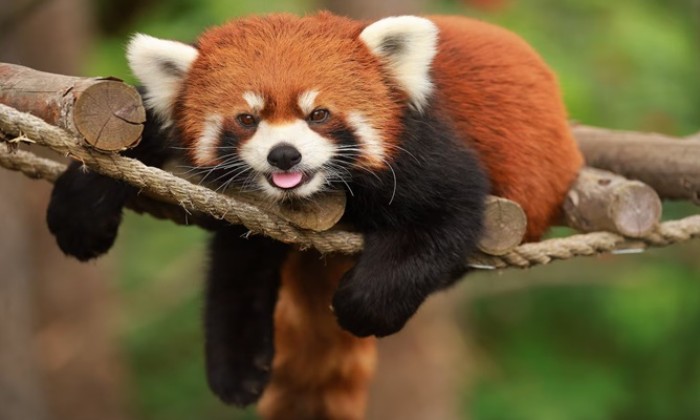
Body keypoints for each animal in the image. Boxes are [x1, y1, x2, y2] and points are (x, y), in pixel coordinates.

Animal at [47, 12, 583, 419]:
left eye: (319, 114)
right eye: (247, 119)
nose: (284, 155)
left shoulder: (426, 153)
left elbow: (446, 219)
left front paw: (359, 306)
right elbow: (133, 129)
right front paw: (80, 211)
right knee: (240, 262)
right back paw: (236, 367)